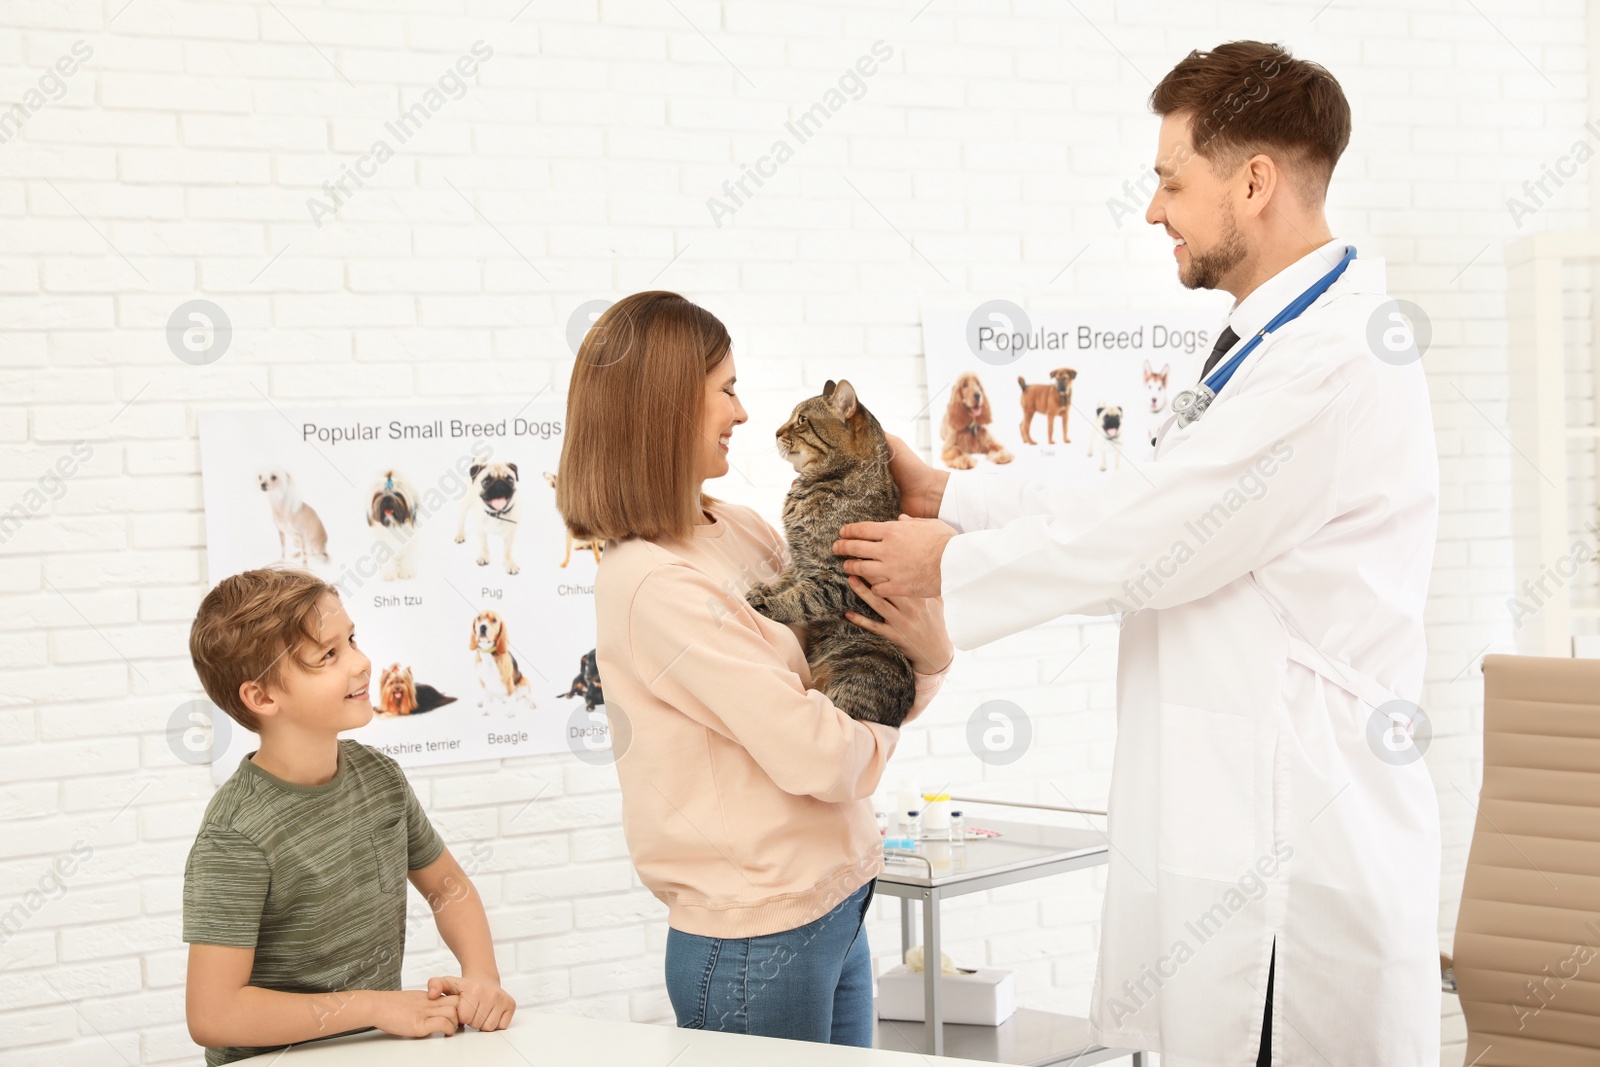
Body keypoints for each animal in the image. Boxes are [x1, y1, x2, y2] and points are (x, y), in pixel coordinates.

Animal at [745, 379, 921, 729]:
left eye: (801, 420)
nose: (776, 431)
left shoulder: (840, 578)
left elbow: (803, 597)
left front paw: (770, 604)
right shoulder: (798, 559)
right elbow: (786, 580)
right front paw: (766, 589)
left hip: (862, 665)